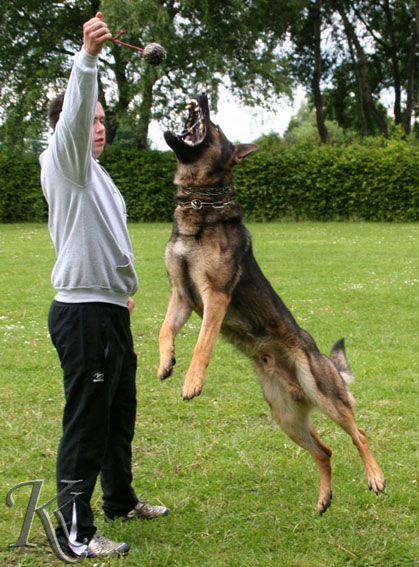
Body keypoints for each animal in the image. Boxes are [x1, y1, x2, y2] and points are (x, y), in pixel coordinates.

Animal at [158, 93, 388, 516]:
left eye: (215, 127)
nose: (203, 95)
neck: (199, 204)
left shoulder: (215, 296)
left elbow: (202, 345)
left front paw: (192, 381)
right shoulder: (181, 295)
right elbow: (166, 330)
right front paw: (166, 363)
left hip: (324, 395)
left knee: (359, 432)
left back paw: (375, 476)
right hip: (286, 417)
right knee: (325, 451)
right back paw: (324, 498)